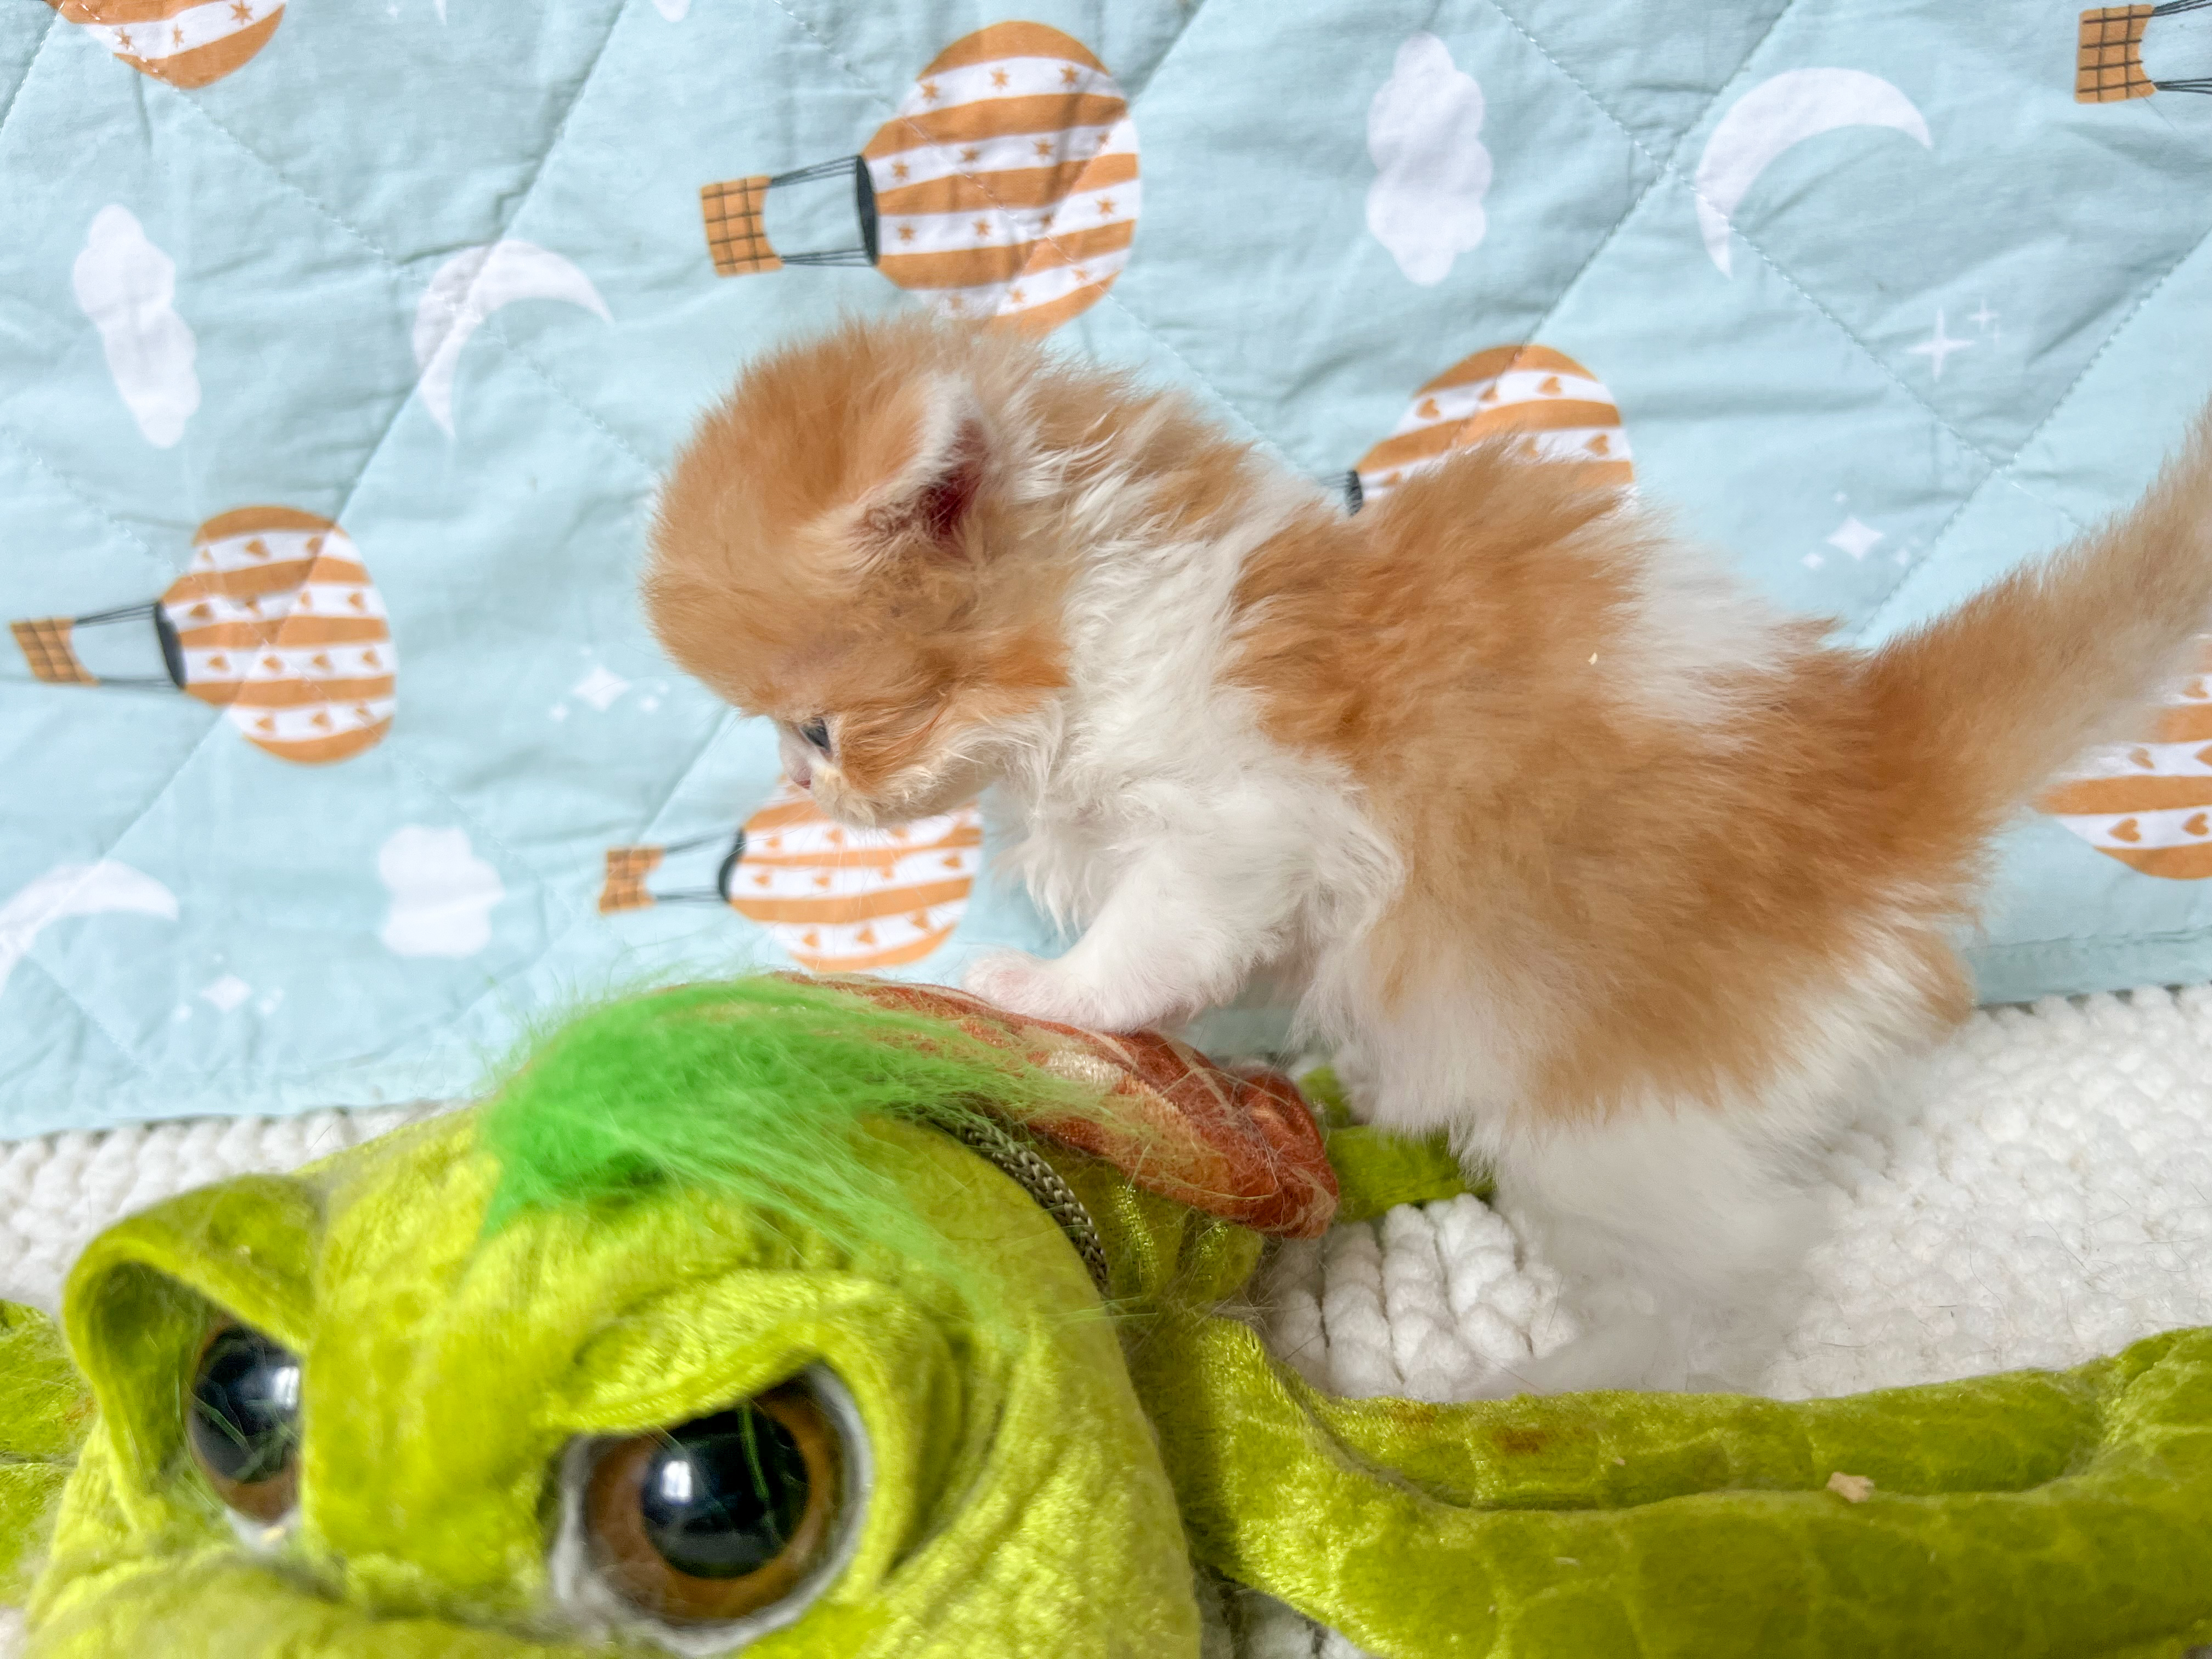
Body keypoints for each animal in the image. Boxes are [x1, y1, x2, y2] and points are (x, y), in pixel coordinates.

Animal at [644, 313, 2212, 1390]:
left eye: (821, 729)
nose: (796, 790)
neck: (1093, 623)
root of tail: (1879, 769)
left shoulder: (1245, 806)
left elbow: (1151, 937)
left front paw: (1042, 995)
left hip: (1606, 1105)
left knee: (1726, 1282)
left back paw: (1563, 1395)